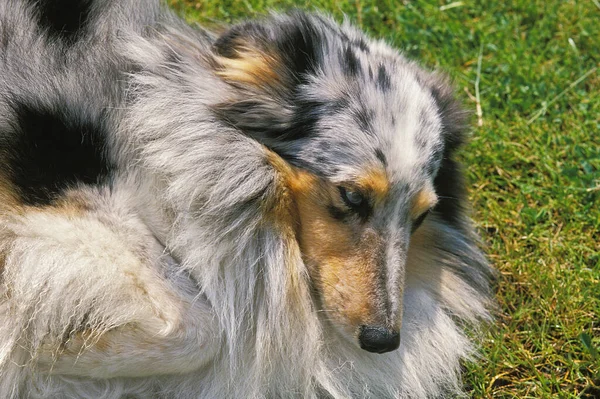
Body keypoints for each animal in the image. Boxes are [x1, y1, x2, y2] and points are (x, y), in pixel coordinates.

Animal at [0, 1, 494, 398]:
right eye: (352, 195)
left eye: (423, 214)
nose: (382, 340)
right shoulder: (75, 201)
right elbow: (205, 330)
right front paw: (43, 352)